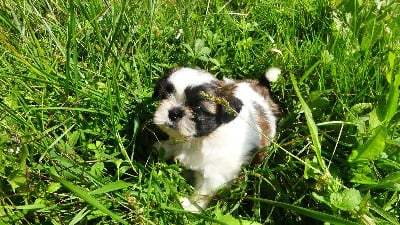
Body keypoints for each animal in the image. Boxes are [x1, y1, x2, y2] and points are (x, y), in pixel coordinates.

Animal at [152, 67, 280, 213]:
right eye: (165, 96)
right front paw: (163, 147)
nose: (174, 112)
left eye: (198, 108)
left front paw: (191, 207)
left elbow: (204, 192)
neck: (201, 139)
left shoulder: (214, 175)